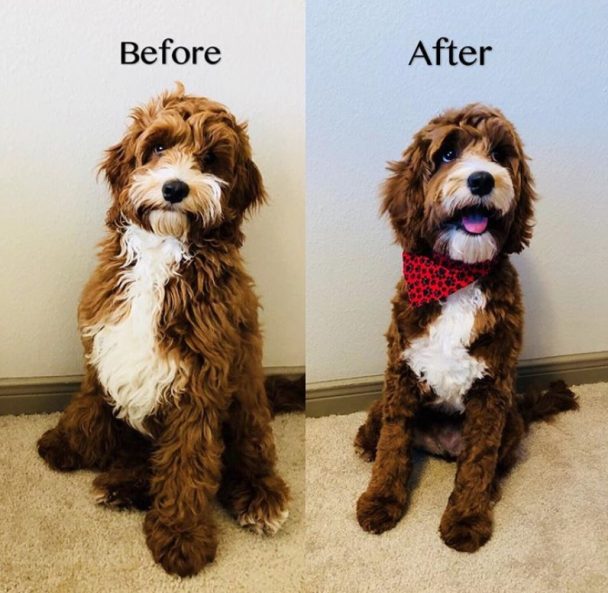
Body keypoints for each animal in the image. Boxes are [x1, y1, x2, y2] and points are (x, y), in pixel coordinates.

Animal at [35, 83, 296, 572]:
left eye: (210, 159)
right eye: (157, 147)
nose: (174, 187)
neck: (162, 251)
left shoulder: (201, 383)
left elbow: (187, 463)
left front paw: (181, 536)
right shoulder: (102, 343)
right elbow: (88, 400)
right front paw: (65, 442)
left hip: (247, 404)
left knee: (250, 458)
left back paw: (259, 500)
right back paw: (123, 483)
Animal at [354, 104, 576, 552]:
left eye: (499, 154)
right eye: (446, 154)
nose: (482, 179)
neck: (456, 275)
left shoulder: (492, 388)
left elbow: (478, 462)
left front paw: (467, 519)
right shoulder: (401, 374)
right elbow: (393, 446)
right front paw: (381, 501)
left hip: (511, 421)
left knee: (494, 461)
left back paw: (490, 492)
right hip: (382, 401)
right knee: (378, 433)